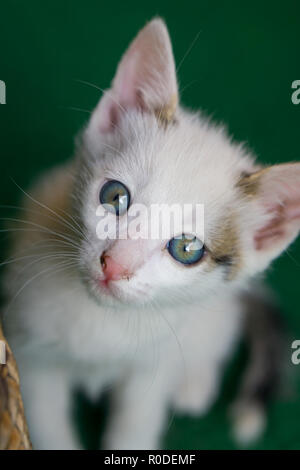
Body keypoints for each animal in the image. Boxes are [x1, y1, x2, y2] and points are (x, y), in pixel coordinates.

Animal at [2, 18, 300, 450]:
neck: (104, 323)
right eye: (115, 196)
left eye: (187, 248)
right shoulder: (31, 357)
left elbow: (135, 424)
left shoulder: (152, 370)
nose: (114, 266)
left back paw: (195, 384)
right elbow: (46, 422)